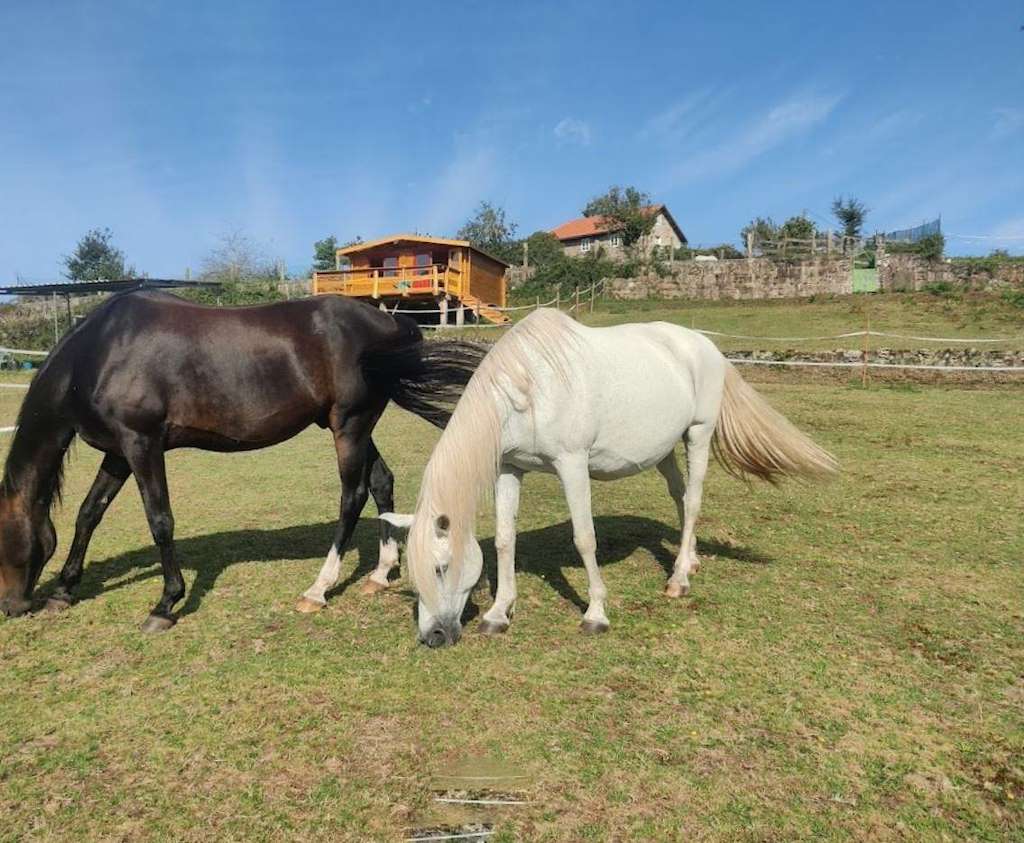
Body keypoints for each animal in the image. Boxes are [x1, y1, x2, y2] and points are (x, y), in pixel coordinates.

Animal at [0, 290, 486, 631]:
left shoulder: (142, 444)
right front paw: (64, 590)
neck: (101, 352)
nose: (11, 606)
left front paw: (166, 603)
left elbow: (160, 521)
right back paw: (381, 573)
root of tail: (388, 321)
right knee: (382, 481)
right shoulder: (119, 453)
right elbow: (88, 514)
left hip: (349, 426)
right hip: (353, 427)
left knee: (353, 495)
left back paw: (318, 589)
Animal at [380, 308, 838, 647]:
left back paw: (679, 580)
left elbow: (585, 538)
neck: (530, 388)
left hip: (699, 433)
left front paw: (596, 614)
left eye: (441, 567)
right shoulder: (511, 468)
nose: (433, 636)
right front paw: (498, 613)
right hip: (664, 448)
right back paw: (688, 559)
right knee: (679, 496)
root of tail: (704, 345)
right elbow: (505, 540)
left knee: (693, 500)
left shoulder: (571, 464)